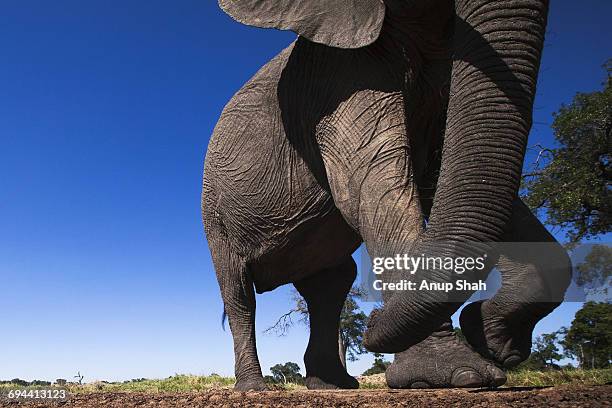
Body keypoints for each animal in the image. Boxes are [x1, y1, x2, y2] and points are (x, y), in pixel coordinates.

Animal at [203, 0, 572, 390]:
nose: (372, 321)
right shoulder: (337, 77)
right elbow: (370, 186)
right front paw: (455, 375)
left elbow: (441, 169)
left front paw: (494, 340)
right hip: (215, 216)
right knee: (239, 291)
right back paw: (254, 388)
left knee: (331, 287)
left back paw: (335, 385)